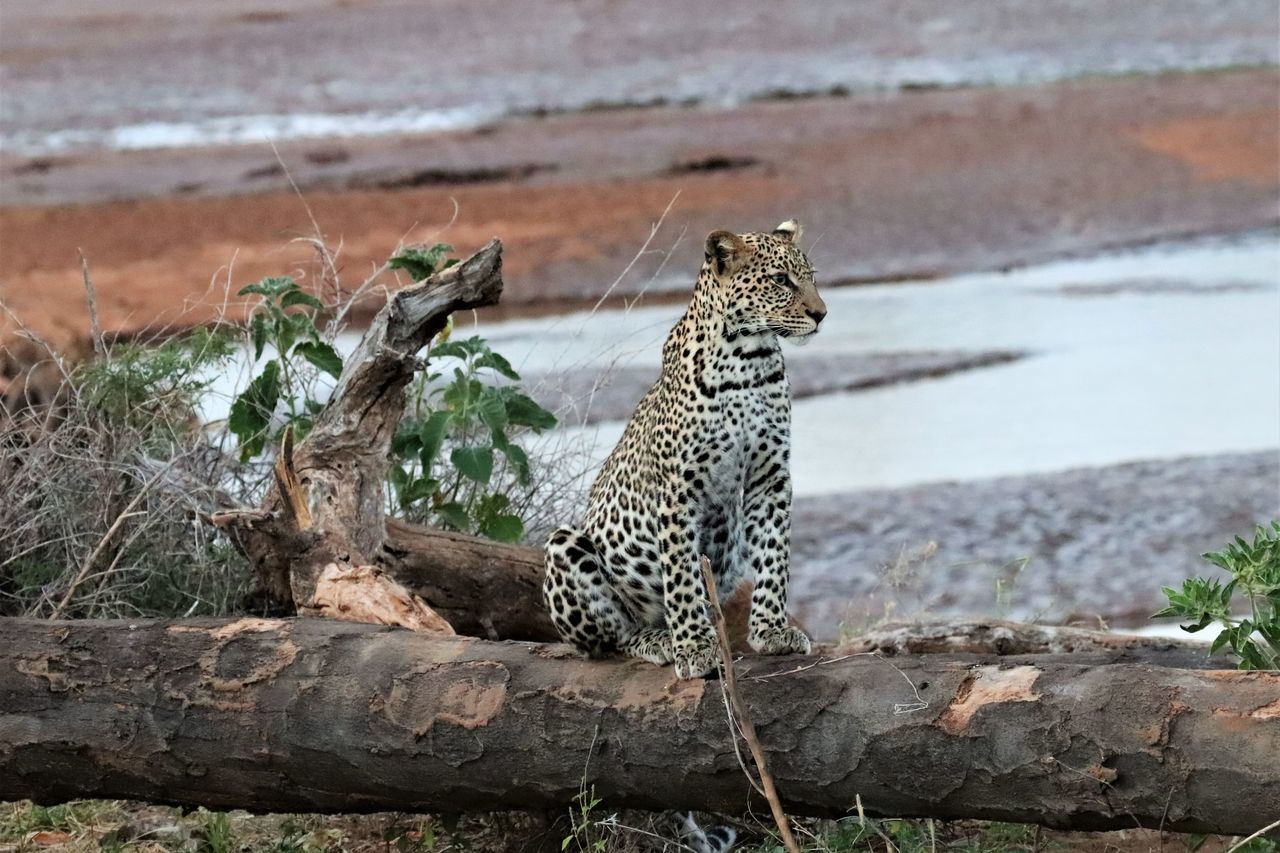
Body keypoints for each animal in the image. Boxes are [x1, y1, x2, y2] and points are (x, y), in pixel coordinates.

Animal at [542, 219, 824, 676]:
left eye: (811, 277)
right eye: (781, 280)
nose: (821, 314)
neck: (748, 360)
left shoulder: (770, 476)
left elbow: (774, 554)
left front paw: (772, 630)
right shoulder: (679, 487)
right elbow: (682, 575)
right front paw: (693, 647)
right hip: (564, 546)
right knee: (613, 638)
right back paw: (659, 640)